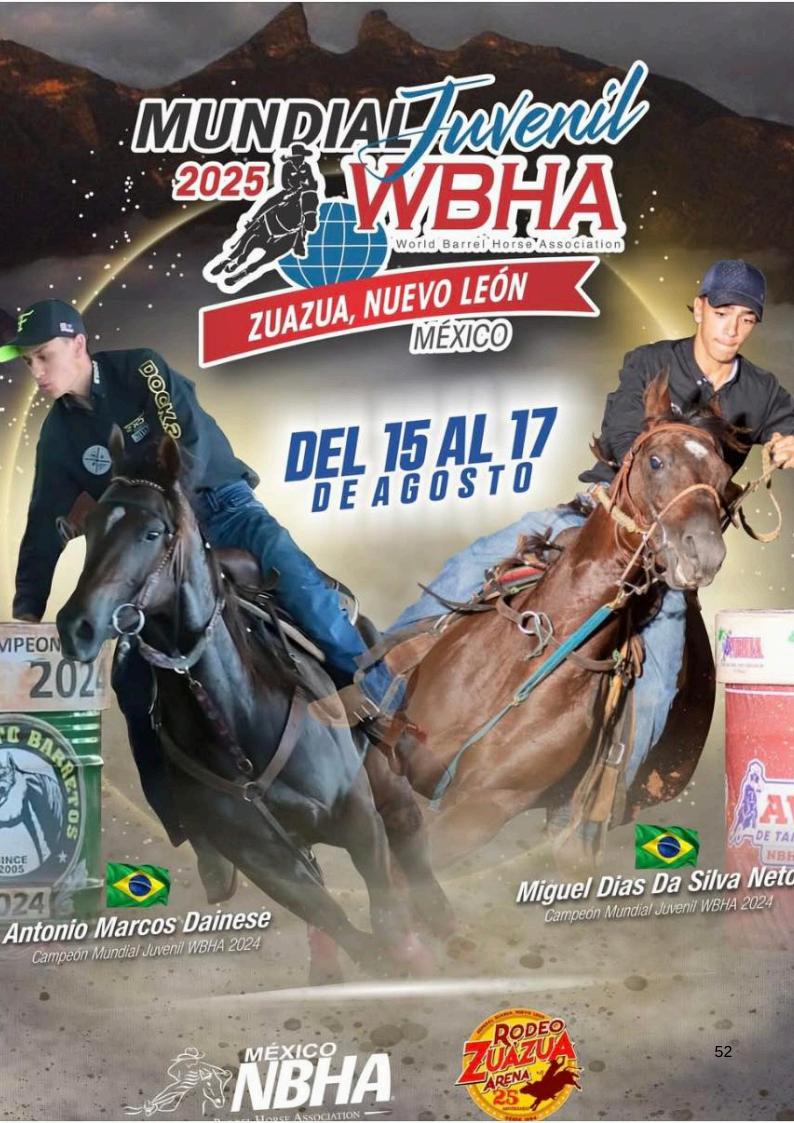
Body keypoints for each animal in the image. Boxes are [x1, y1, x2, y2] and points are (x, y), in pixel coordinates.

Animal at [56, 430, 446, 978]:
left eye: (152, 533)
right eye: (89, 530)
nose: (77, 626)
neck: (236, 723)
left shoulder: (357, 815)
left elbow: (387, 916)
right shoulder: (264, 861)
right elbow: (346, 930)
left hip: (385, 778)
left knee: (411, 842)